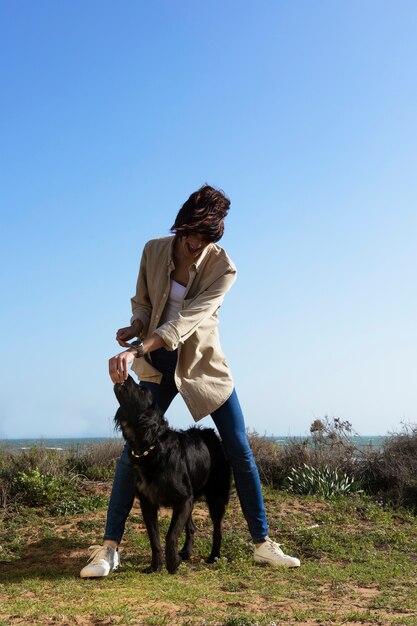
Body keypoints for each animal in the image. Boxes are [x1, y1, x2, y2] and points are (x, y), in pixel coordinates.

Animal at [114, 372, 231, 572]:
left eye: (142, 390)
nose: (127, 375)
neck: (149, 448)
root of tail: (211, 434)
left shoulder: (183, 499)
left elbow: (170, 535)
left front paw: (172, 563)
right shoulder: (148, 503)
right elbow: (154, 539)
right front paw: (156, 566)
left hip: (215, 497)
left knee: (217, 529)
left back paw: (214, 555)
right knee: (191, 528)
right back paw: (186, 552)